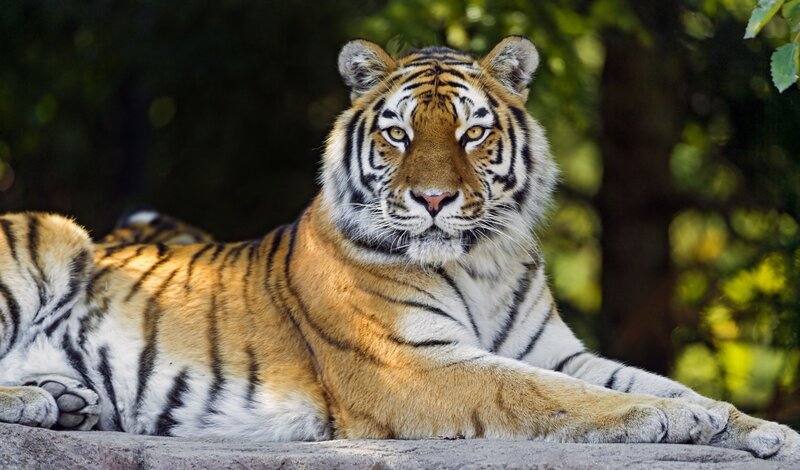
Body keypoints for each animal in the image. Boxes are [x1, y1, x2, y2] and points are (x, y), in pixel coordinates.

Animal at [0, 36, 798, 462]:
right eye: (399, 134)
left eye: (472, 134)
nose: (434, 200)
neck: (481, 260)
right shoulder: (411, 365)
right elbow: (548, 393)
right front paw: (671, 421)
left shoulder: (554, 348)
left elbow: (655, 381)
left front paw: (760, 429)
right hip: (53, 236)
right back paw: (41, 401)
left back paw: (64, 400)